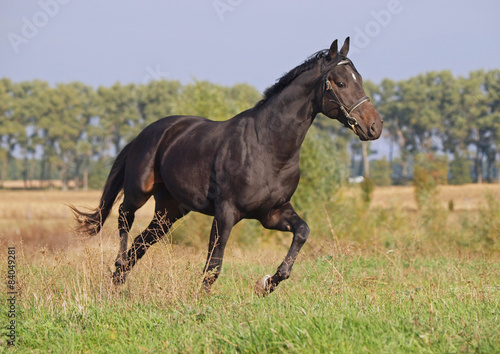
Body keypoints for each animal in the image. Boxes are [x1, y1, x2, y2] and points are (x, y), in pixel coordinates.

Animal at [70, 37, 382, 294]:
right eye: (340, 82)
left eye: (359, 79)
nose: (374, 126)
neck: (267, 147)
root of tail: (144, 134)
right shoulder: (226, 213)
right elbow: (213, 266)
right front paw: (201, 302)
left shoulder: (272, 213)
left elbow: (302, 232)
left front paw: (266, 283)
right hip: (140, 191)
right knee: (124, 217)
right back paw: (118, 267)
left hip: (169, 212)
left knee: (141, 243)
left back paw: (119, 281)